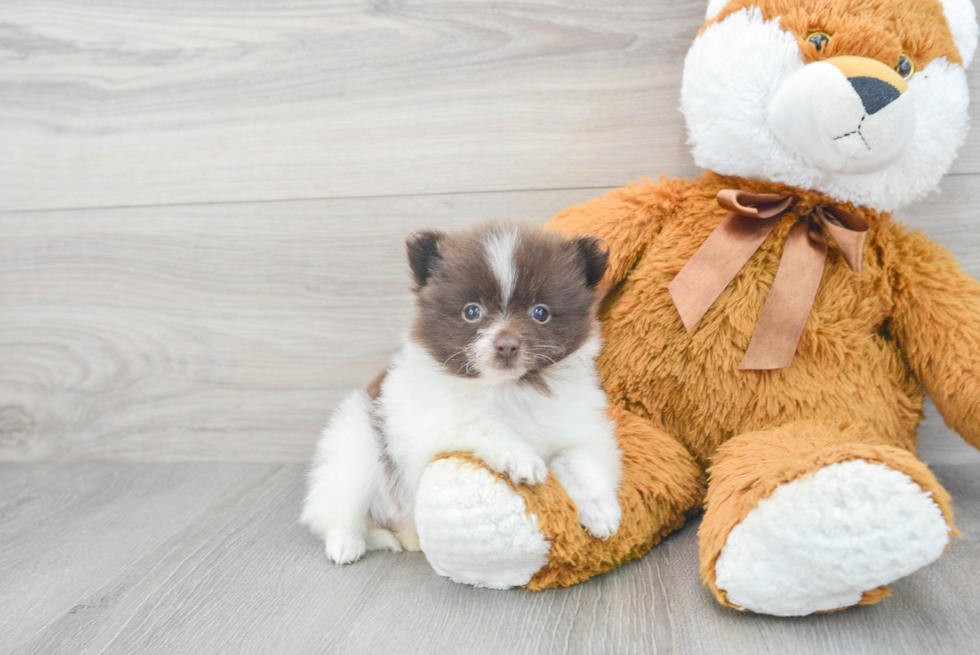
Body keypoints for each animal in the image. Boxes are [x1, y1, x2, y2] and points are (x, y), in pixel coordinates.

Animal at [300, 223, 620, 568]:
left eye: (540, 313)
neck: (506, 389)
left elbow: (579, 463)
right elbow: (483, 424)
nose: (507, 345)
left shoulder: (580, 430)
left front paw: (601, 510)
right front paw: (521, 458)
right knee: (340, 507)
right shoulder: (430, 428)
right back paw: (346, 543)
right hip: (356, 454)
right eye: (472, 312)